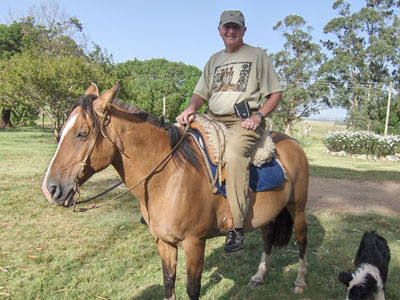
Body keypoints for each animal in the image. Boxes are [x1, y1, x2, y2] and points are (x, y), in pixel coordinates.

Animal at [41, 82, 310, 300]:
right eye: (62, 130)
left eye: (82, 133)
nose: (50, 188)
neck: (170, 177)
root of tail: (292, 142)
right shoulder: (164, 241)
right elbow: (169, 282)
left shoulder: (194, 243)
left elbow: (192, 288)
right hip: (269, 214)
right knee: (268, 238)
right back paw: (259, 276)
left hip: (298, 208)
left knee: (302, 240)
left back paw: (299, 282)